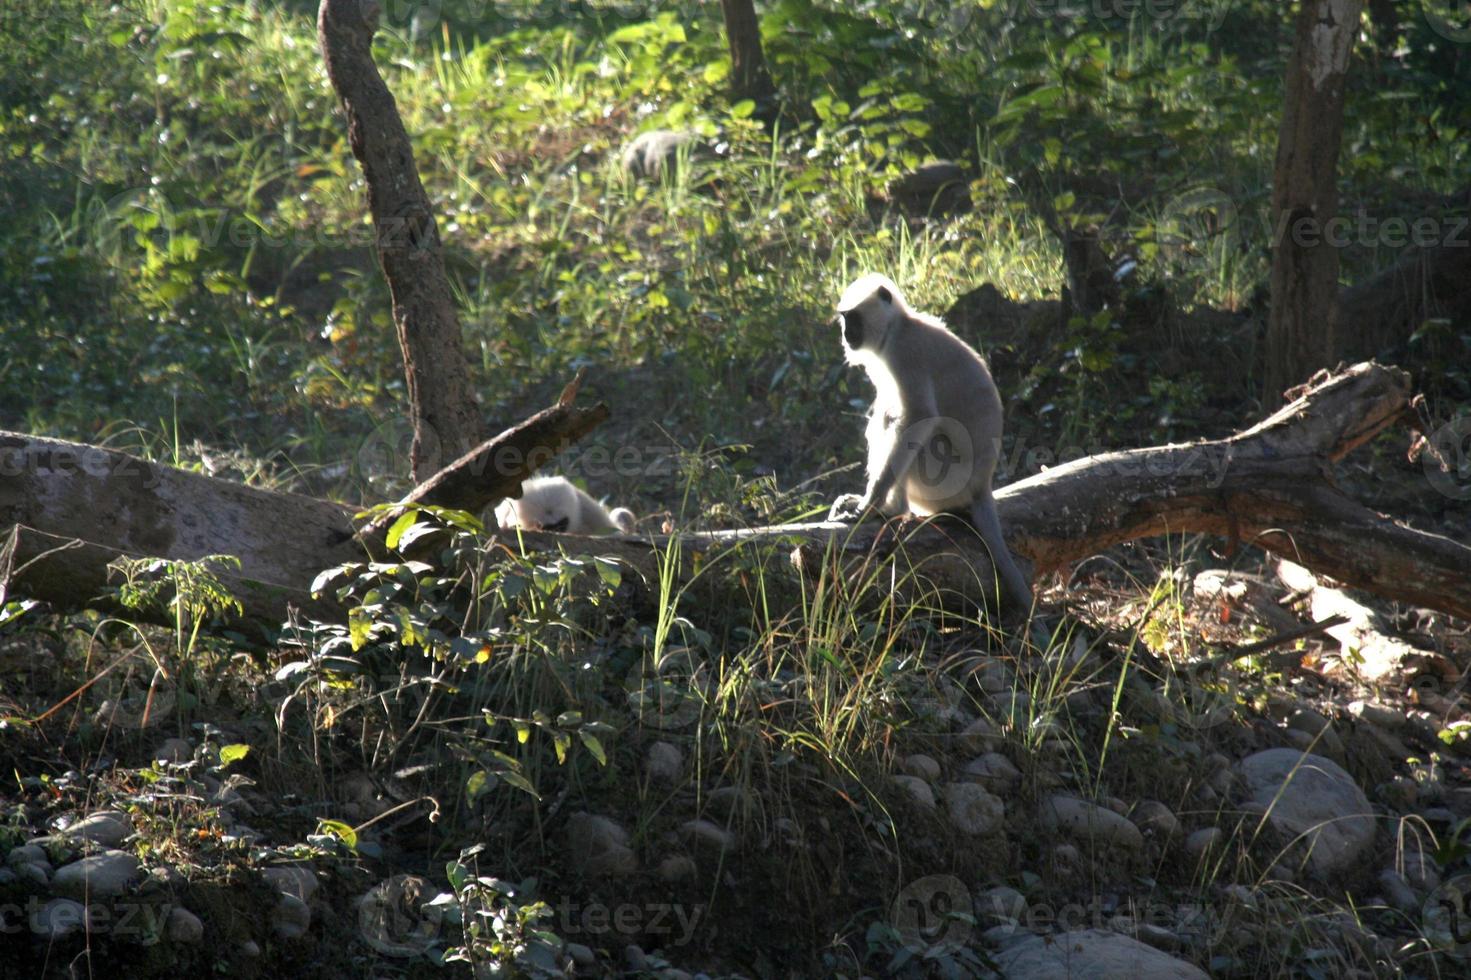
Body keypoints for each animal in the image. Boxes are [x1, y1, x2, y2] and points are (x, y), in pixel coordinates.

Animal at [829, 270, 1035, 606]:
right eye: (844, 319)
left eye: (853, 318)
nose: (846, 335)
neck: (898, 326)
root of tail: (982, 485)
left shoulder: (906, 351)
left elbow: (919, 418)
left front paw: (869, 503)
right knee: (886, 416)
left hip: (946, 481)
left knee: (911, 431)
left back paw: (891, 509)